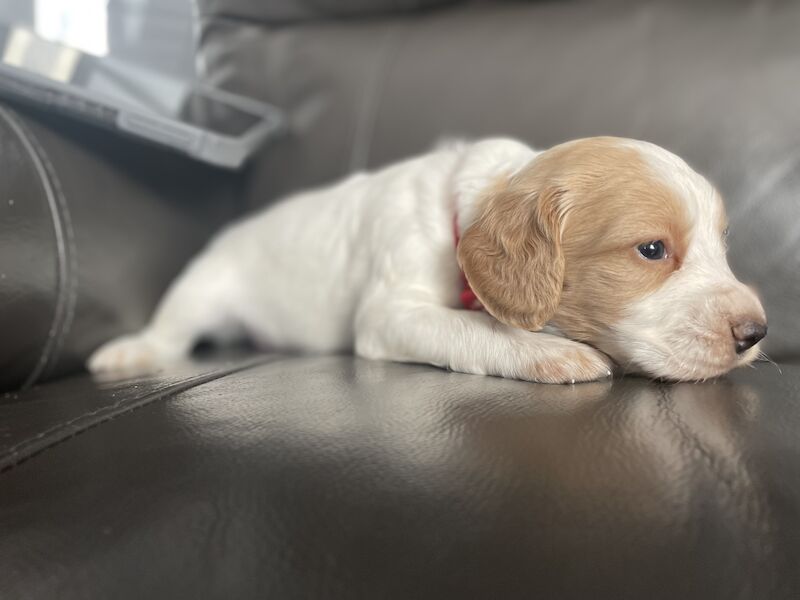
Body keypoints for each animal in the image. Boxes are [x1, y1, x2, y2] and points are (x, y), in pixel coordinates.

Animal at [86, 136, 764, 382]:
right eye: (652, 250)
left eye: (723, 243)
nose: (757, 333)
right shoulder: (390, 311)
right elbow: (472, 328)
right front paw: (550, 350)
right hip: (202, 285)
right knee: (169, 331)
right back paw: (127, 352)